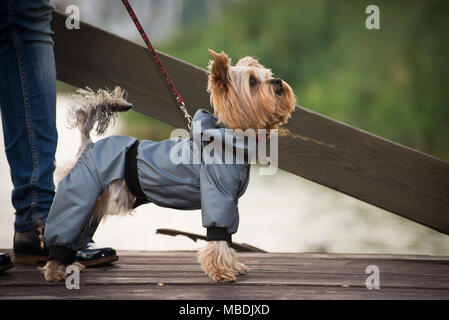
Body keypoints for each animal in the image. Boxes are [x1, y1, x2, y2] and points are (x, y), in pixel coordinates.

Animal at [40, 48, 296, 282]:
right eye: (253, 82)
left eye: (268, 75)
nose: (278, 82)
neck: (229, 137)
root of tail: (88, 145)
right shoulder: (218, 195)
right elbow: (218, 236)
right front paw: (221, 270)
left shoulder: (230, 201)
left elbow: (227, 236)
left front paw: (232, 265)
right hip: (81, 192)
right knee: (62, 227)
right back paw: (55, 270)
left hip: (93, 200)